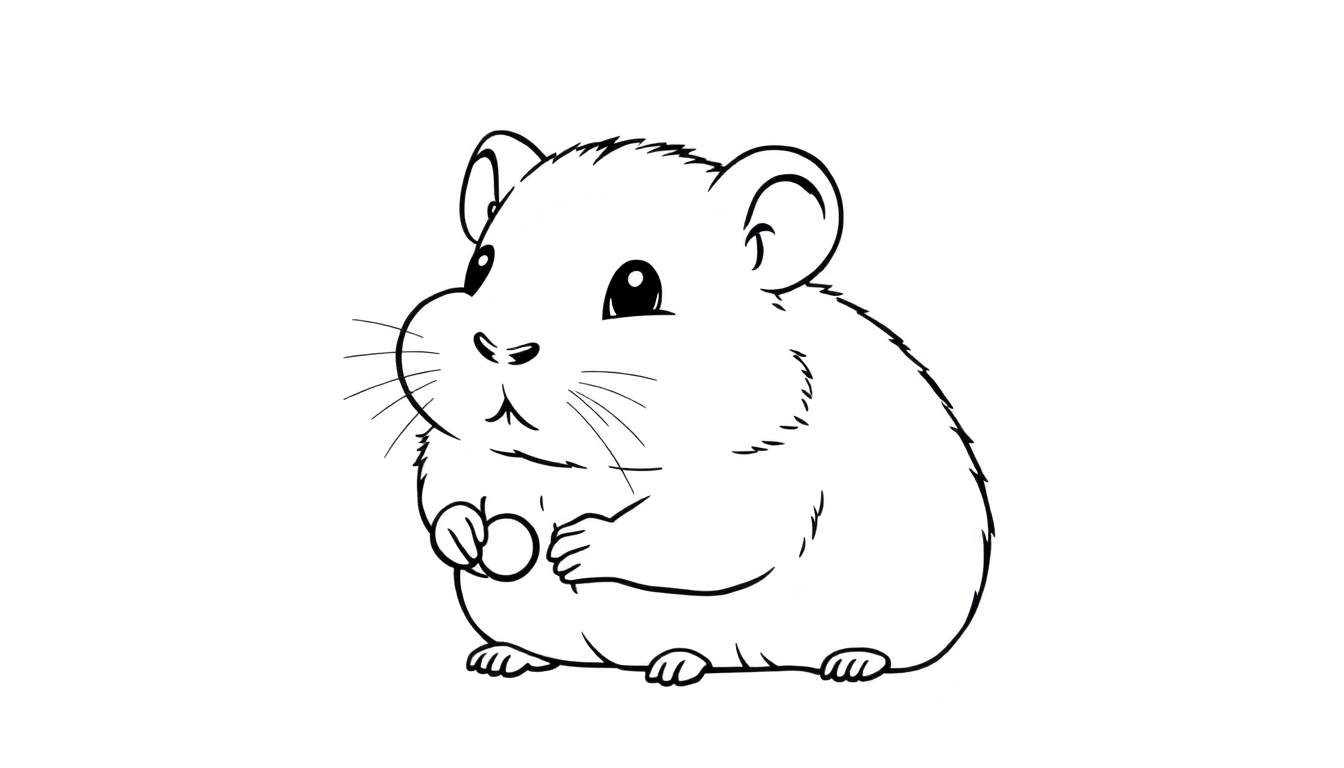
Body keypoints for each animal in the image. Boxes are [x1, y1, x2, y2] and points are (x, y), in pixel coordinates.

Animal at [391, 132, 993, 684]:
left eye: (637, 288)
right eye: (479, 267)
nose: (501, 349)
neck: (576, 465)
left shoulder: (764, 480)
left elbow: (698, 533)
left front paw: (575, 548)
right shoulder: (456, 452)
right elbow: (444, 498)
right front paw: (465, 536)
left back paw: (814, 662)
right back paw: (504, 657)